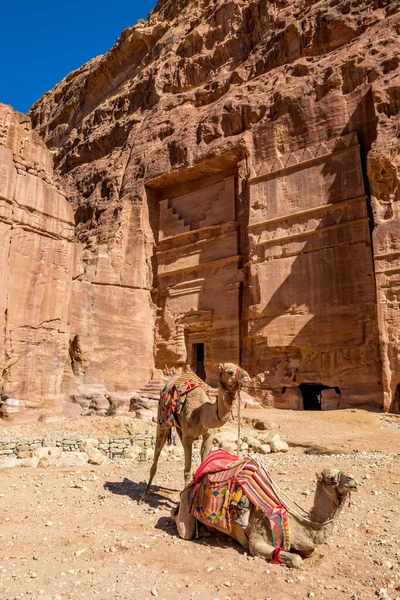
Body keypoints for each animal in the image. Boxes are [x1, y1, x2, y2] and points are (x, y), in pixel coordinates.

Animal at [144, 364, 250, 494]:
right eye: (229, 372)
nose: (247, 377)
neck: (201, 412)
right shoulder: (188, 436)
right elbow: (187, 471)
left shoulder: (208, 435)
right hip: (162, 420)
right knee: (159, 445)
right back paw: (145, 493)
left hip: (180, 428)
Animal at [173, 466, 358, 568]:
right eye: (331, 478)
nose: (353, 480)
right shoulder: (257, 540)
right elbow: (296, 559)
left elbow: (310, 551)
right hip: (186, 504)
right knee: (183, 529)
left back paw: (206, 531)